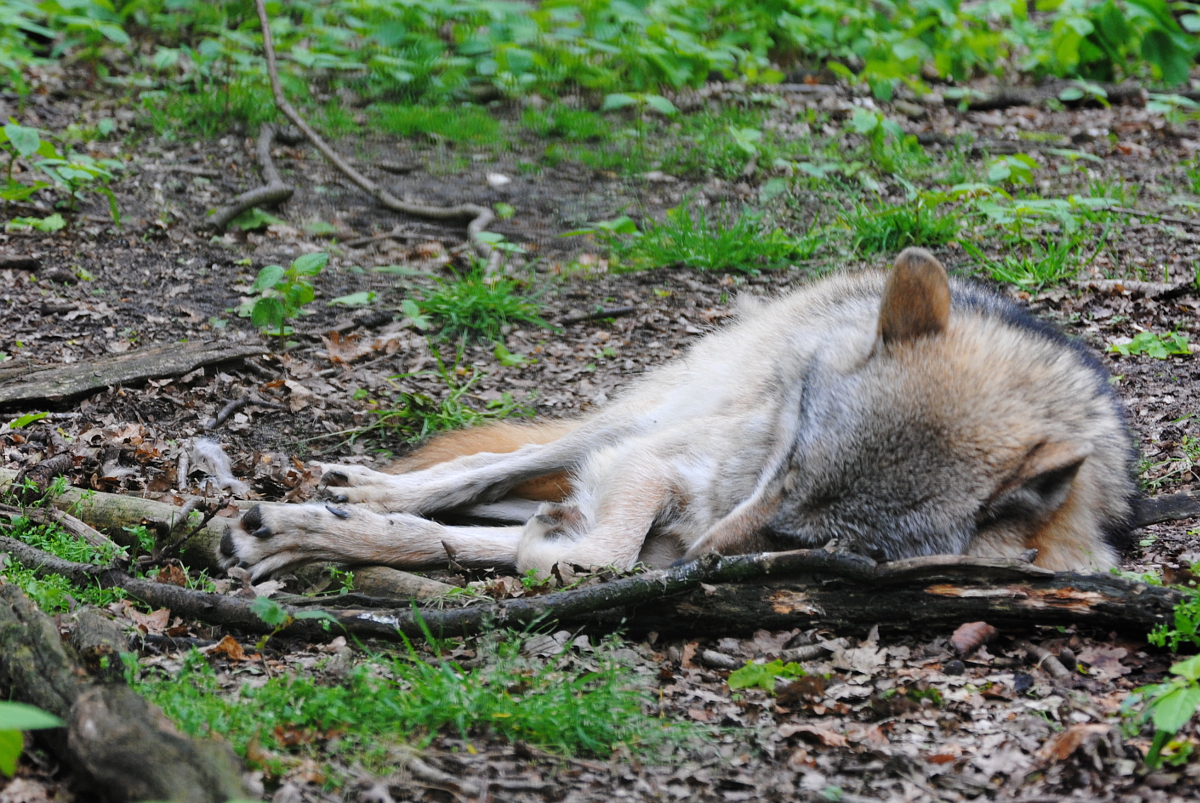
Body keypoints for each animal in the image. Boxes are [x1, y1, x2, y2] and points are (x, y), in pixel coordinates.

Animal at [219, 248, 1138, 581]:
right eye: (785, 471)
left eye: (808, 543)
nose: (699, 558)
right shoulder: (652, 464)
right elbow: (602, 548)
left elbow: (570, 551)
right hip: (636, 422)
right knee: (486, 469)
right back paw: (369, 490)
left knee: (492, 509)